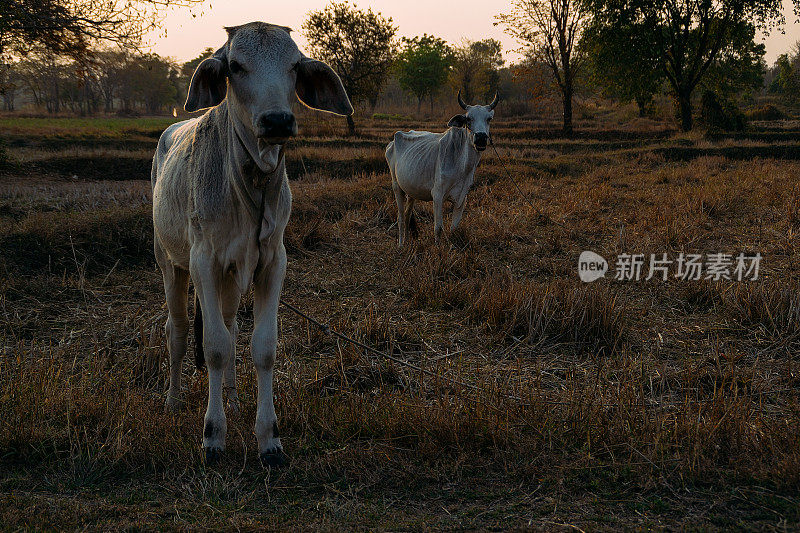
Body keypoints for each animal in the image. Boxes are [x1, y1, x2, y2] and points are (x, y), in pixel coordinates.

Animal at [150, 22, 350, 466]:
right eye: (236, 66)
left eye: (294, 66)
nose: (277, 120)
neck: (250, 184)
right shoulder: (204, 262)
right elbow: (214, 348)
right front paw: (213, 435)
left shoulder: (272, 262)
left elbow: (261, 346)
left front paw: (268, 438)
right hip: (170, 263)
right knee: (178, 329)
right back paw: (172, 399)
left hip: (227, 278)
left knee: (228, 325)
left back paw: (233, 399)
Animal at [384, 92, 496, 245]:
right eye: (468, 118)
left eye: (489, 118)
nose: (481, 138)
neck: (462, 166)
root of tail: (392, 142)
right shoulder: (437, 195)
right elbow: (438, 228)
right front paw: (438, 248)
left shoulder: (462, 198)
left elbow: (454, 228)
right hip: (396, 186)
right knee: (400, 218)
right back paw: (401, 244)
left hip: (411, 190)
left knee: (407, 215)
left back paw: (406, 241)